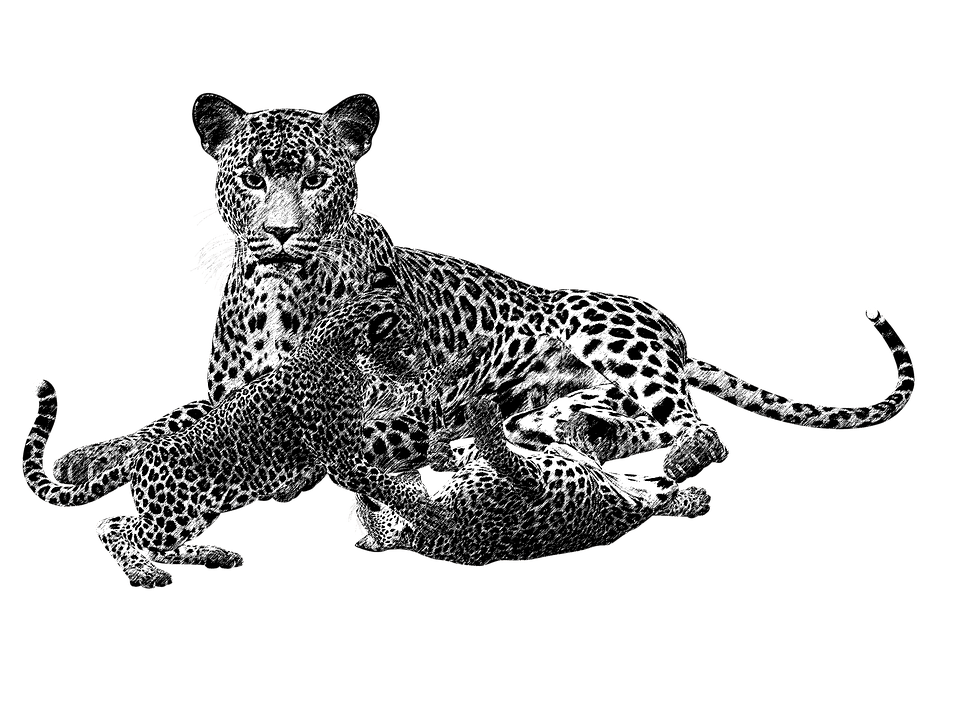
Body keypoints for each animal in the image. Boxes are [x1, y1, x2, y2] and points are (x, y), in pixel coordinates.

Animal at [22, 290, 473, 589]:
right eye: (410, 340)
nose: (430, 357)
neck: (343, 349)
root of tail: (139, 457)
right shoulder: (341, 456)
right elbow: (385, 482)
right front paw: (432, 512)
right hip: (172, 514)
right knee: (114, 527)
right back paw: (145, 573)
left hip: (198, 511)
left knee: (137, 531)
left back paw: (215, 555)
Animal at [48, 93, 917, 541]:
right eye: (254, 178)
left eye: (319, 179)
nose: (283, 232)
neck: (276, 299)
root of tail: (669, 325)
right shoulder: (229, 395)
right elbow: (163, 423)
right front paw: (88, 460)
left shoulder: (403, 404)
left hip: (607, 337)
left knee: (698, 432)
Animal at [350, 399, 713, 567]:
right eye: (365, 514)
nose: (358, 498)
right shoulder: (531, 482)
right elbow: (500, 452)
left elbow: (461, 453)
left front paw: (443, 439)